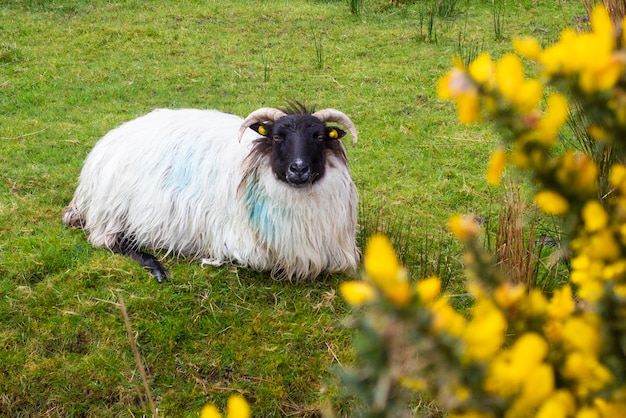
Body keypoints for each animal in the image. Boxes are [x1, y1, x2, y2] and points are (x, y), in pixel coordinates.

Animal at [63, 103, 358, 282]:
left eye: (320, 137)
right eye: (276, 137)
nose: (298, 169)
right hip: (111, 211)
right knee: (110, 242)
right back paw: (156, 267)